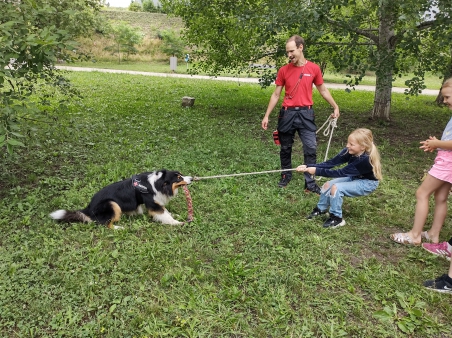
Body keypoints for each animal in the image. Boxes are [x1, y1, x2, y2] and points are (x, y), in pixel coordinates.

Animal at [49, 170, 192, 228]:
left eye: (181, 174)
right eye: (178, 178)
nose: (191, 178)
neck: (158, 183)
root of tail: (88, 208)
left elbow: (166, 211)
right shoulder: (152, 204)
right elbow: (164, 215)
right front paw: (178, 223)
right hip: (112, 204)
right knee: (104, 224)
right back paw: (119, 228)